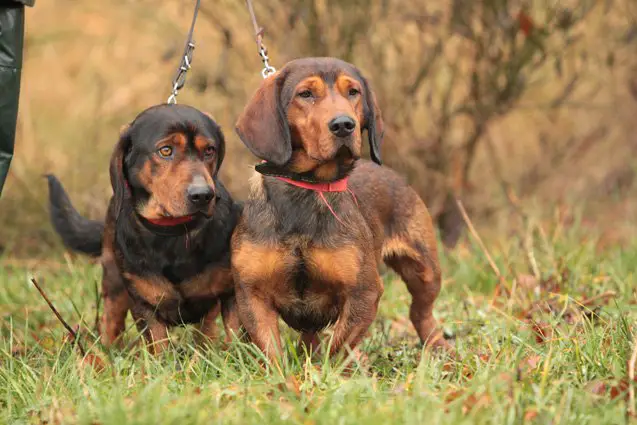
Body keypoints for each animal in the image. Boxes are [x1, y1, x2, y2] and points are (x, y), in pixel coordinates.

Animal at [47, 104, 241, 352]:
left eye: (209, 150)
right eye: (165, 150)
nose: (203, 195)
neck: (174, 230)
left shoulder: (228, 293)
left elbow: (234, 334)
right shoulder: (145, 305)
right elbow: (159, 346)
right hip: (113, 280)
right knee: (111, 320)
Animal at [231, 57, 450, 362]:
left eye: (353, 92)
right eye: (305, 94)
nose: (345, 125)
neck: (307, 188)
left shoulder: (364, 292)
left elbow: (338, 350)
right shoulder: (252, 294)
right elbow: (273, 355)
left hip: (425, 270)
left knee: (420, 312)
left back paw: (438, 347)